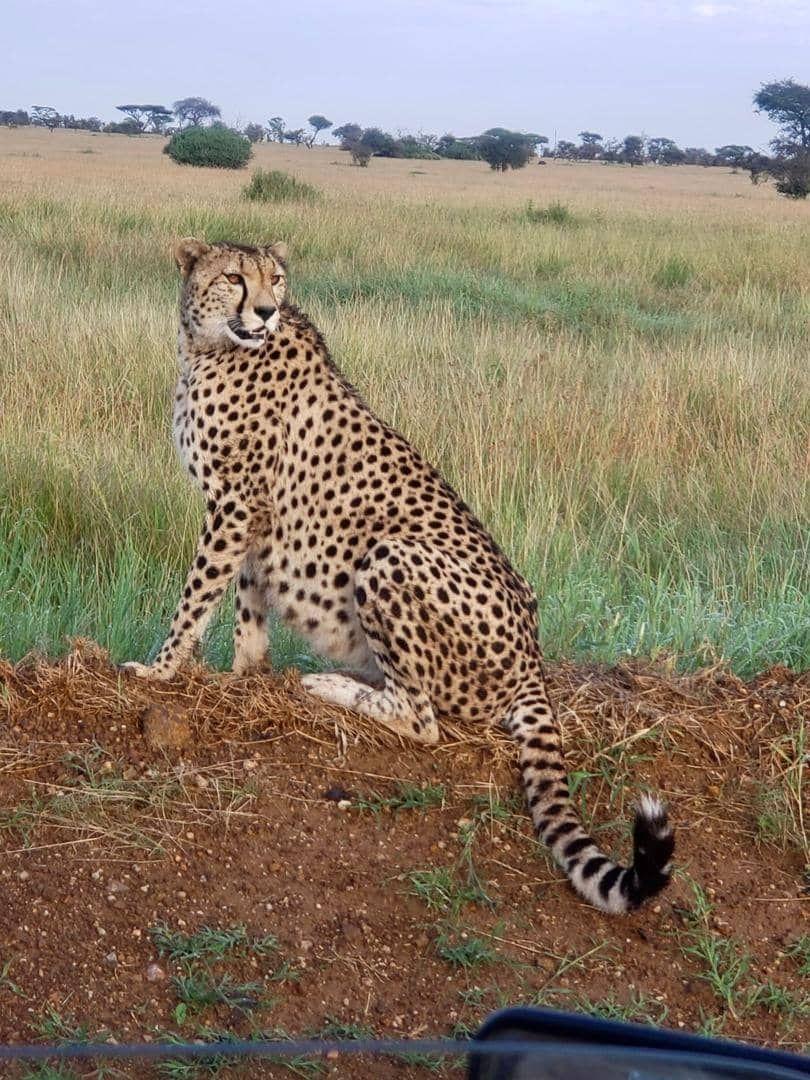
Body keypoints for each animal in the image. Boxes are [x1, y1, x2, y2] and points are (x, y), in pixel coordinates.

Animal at [121, 237, 674, 914]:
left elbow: (197, 595)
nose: (267, 311)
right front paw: (244, 677)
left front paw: (159, 669)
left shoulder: (234, 505)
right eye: (234, 277)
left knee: (423, 720)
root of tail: (533, 662)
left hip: (390, 556)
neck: (209, 345)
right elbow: (249, 604)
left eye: (275, 279)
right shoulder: (256, 517)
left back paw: (331, 685)